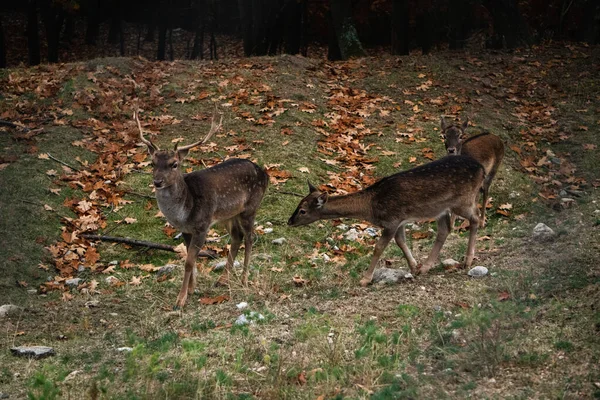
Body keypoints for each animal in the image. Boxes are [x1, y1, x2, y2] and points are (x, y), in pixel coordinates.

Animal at [137, 109, 268, 310]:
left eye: (174, 164)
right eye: (152, 163)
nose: (157, 181)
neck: (184, 212)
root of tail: (265, 174)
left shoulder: (202, 225)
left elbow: (189, 262)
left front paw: (180, 300)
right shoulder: (186, 230)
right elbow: (190, 259)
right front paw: (191, 289)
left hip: (250, 208)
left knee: (250, 238)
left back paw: (244, 280)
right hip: (229, 215)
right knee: (237, 237)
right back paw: (222, 280)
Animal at [288, 155, 486, 286]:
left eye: (303, 211)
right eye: (298, 204)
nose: (289, 221)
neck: (371, 208)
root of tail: (482, 169)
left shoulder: (391, 220)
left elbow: (379, 248)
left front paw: (365, 279)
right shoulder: (399, 221)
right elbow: (401, 242)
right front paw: (414, 267)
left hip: (464, 200)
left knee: (475, 218)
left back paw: (468, 260)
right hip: (442, 209)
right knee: (445, 230)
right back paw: (426, 267)